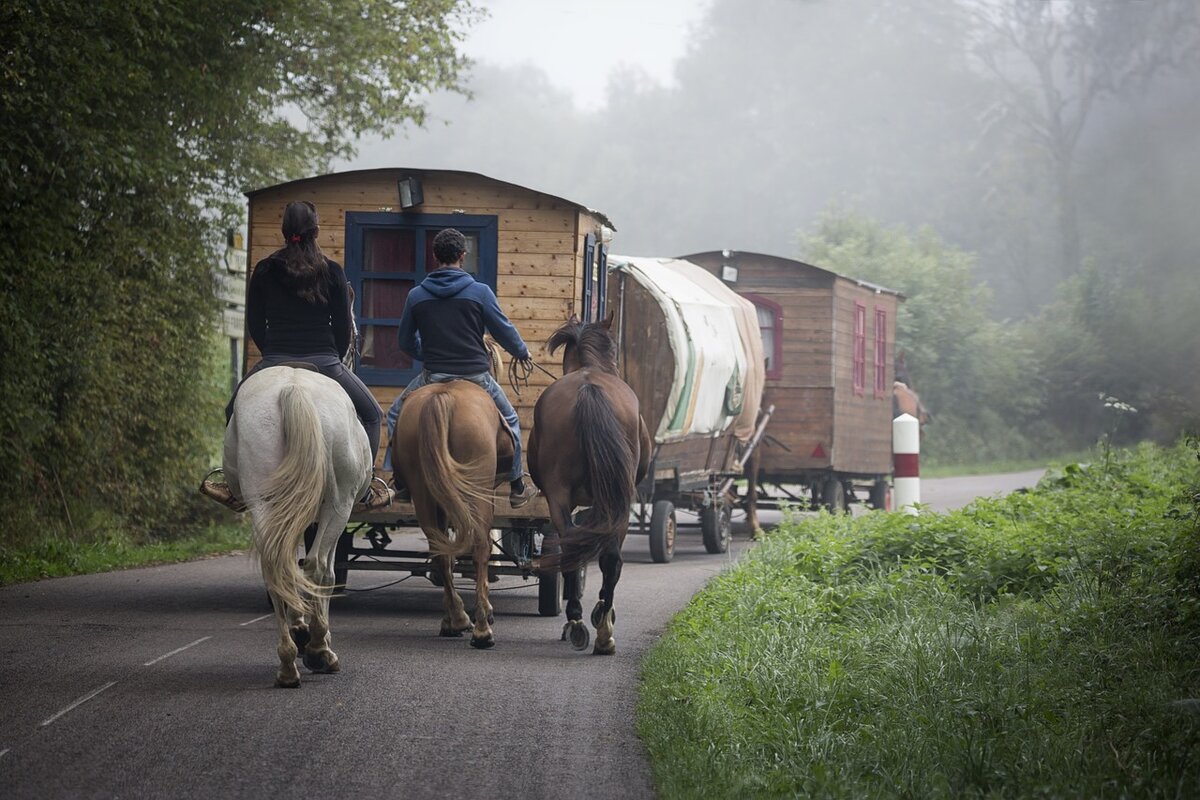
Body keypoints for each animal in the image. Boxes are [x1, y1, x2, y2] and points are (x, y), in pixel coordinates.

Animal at [223, 367, 372, 686]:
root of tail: (294, 388)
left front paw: (300, 629)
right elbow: (324, 572)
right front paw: (316, 638)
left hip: (263, 502)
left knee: (275, 568)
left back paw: (288, 662)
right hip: (339, 505)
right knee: (318, 568)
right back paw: (317, 651)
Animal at [388, 381, 511, 652]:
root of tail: (442, 397)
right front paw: (485, 611)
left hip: (423, 492)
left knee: (440, 551)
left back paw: (456, 619)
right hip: (477, 490)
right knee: (480, 546)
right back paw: (482, 631)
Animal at [530, 311, 652, 657]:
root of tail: (588, 389)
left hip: (563, 496)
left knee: (576, 548)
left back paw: (579, 622)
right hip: (616, 499)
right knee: (607, 558)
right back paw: (601, 628)